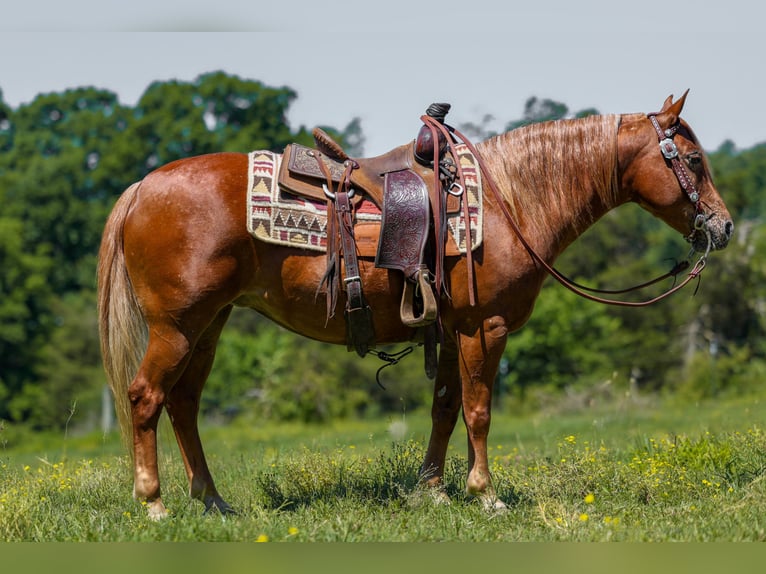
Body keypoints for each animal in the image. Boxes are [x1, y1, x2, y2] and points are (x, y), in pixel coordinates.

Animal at [98, 92, 733, 519]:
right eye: (692, 161)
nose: (723, 226)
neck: (509, 202)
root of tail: (143, 188)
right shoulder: (484, 326)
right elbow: (478, 410)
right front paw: (485, 494)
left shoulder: (451, 332)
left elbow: (445, 408)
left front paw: (431, 489)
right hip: (177, 326)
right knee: (146, 397)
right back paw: (154, 503)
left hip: (209, 324)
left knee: (183, 403)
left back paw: (212, 502)